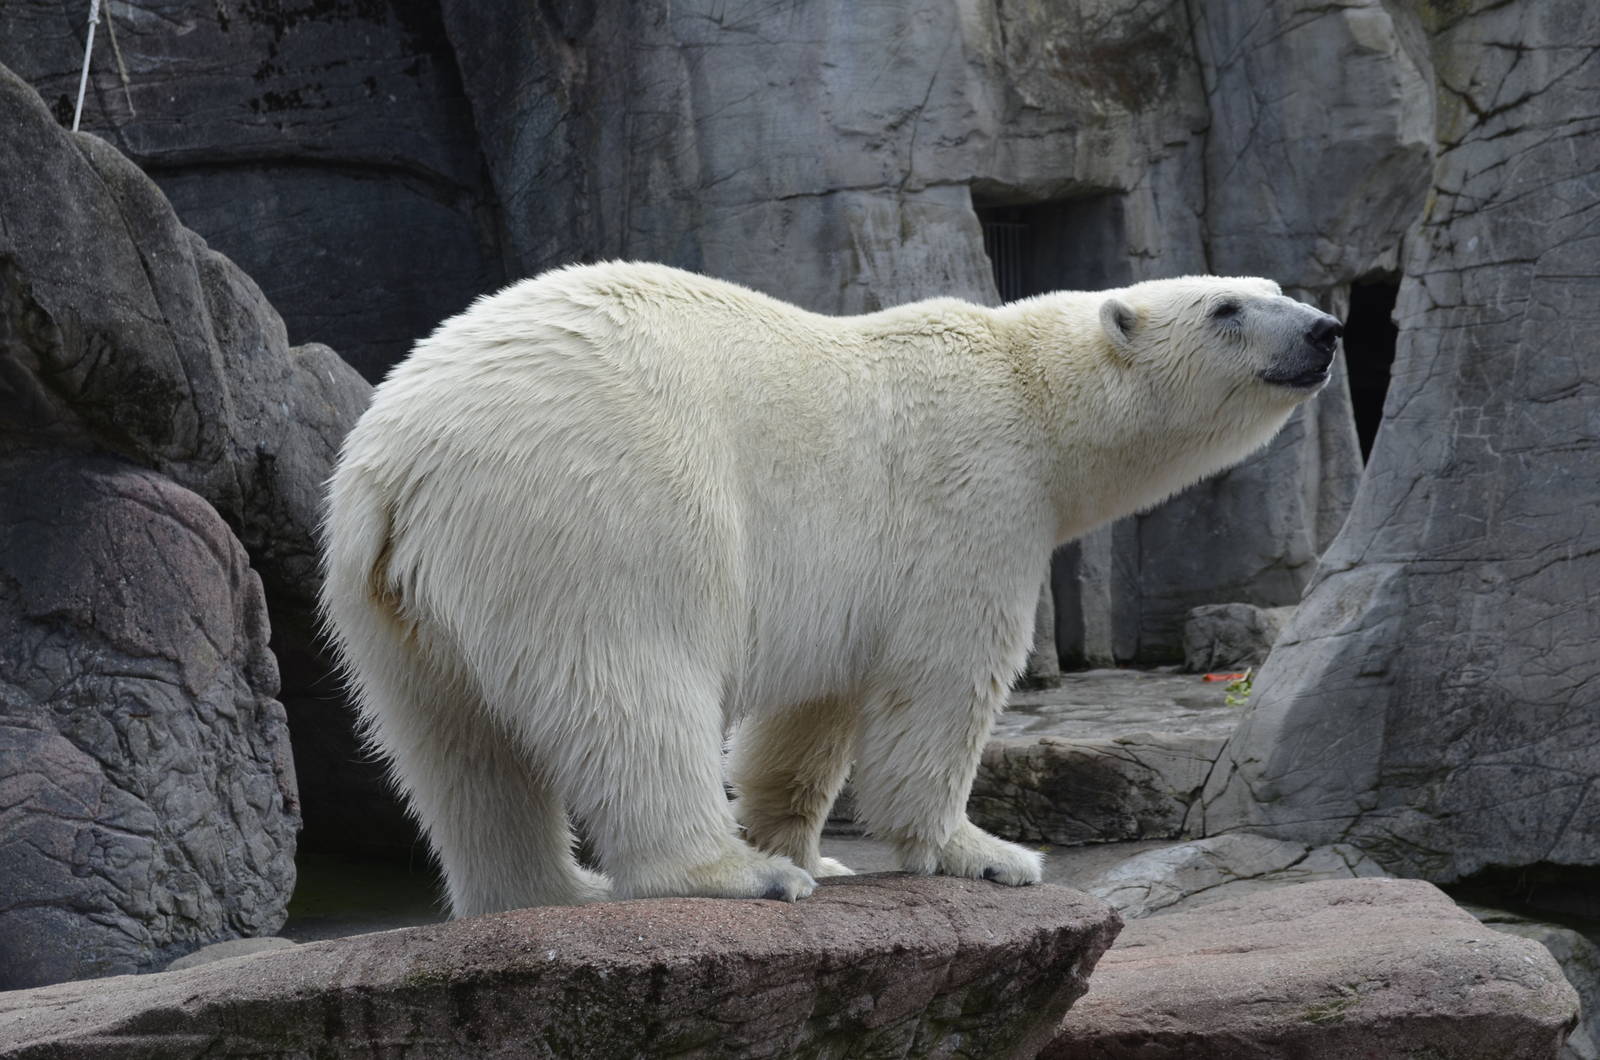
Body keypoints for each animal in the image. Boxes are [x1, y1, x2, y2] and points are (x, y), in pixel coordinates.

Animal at [320, 262, 1342, 917]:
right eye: (1227, 307)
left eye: (1274, 287)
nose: (1326, 329)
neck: (1028, 387)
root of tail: (401, 463)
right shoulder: (970, 496)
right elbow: (943, 683)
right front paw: (985, 854)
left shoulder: (855, 578)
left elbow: (814, 716)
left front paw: (811, 847)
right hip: (593, 511)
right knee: (631, 687)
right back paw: (729, 876)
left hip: (387, 600)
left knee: (453, 746)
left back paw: (556, 889)